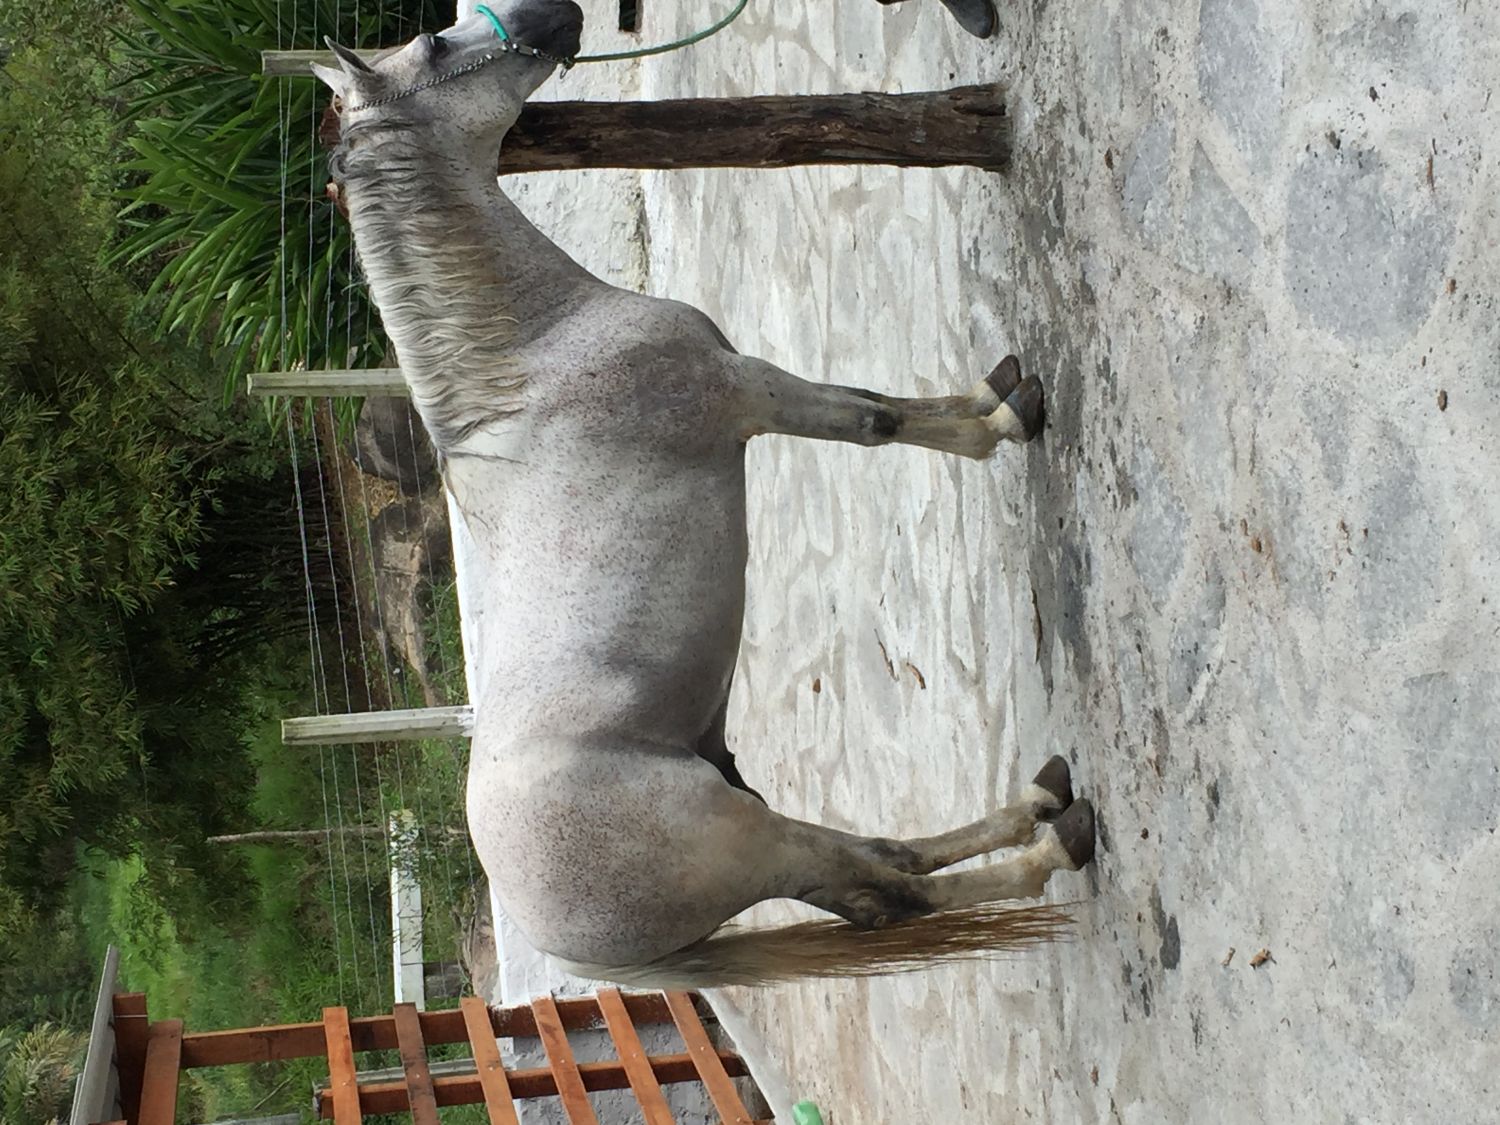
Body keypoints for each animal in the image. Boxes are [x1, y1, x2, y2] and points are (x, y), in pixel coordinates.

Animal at [314, 0, 1094, 988]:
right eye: (436, 44)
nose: (556, 12)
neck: (535, 354)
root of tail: (572, 952)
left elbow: (877, 409)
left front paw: (999, 394)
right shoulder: (748, 393)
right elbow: (873, 419)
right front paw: (1002, 420)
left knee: (879, 877)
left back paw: (1039, 799)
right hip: (750, 839)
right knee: (895, 892)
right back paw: (1056, 839)